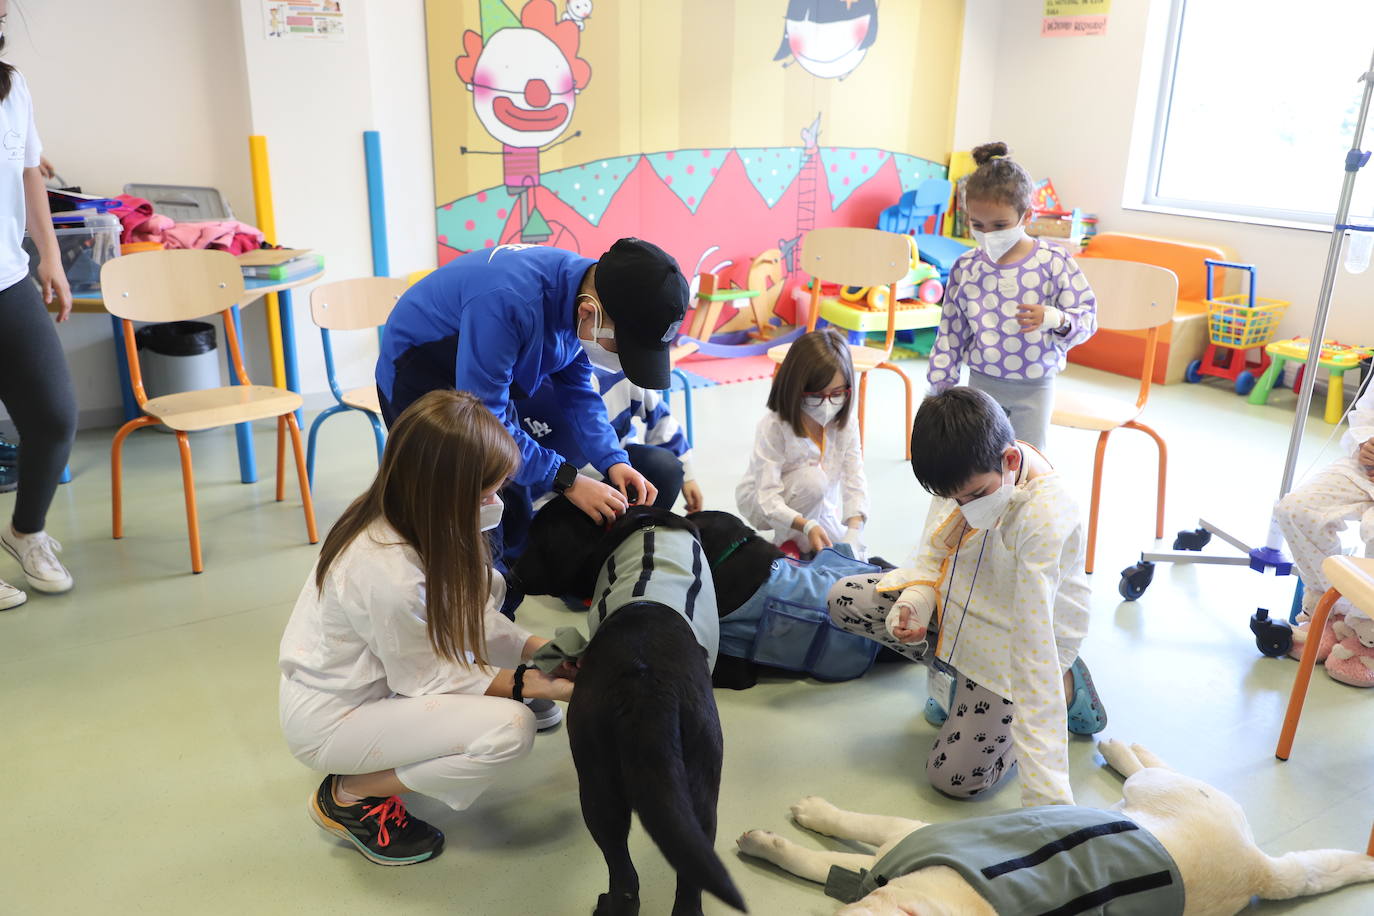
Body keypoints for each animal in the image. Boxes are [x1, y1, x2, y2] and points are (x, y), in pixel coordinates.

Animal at [516, 502, 752, 916]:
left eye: (537, 538)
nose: (510, 572)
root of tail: (646, 686)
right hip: (700, 781)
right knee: (688, 879)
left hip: (597, 784)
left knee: (624, 877)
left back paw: (608, 904)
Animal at [741, 741, 1374, 911]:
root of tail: (1258, 868)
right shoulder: (890, 852)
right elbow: (819, 857)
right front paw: (775, 839)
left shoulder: (902, 831)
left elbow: (841, 829)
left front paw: (800, 822)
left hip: (1160, 791)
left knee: (1154, 766)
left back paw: (1119, 749)